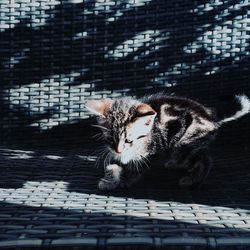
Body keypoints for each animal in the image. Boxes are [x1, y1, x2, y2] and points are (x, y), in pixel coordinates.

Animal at [86, 93, 250, 189]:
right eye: (110, 139)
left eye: (128, 140)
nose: (118, 150)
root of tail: (209, 113)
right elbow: (115, 164)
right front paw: (109, 178)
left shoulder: (152, 152)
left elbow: (134, 169)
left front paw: (123, 180)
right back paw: (176, 164)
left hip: (185, 143)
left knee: (205, 159)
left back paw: (192, 180)